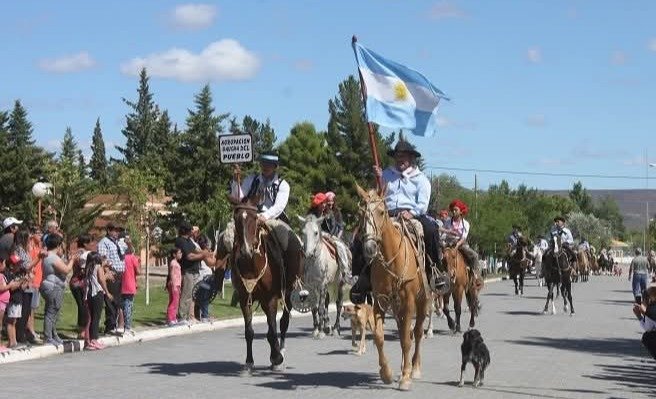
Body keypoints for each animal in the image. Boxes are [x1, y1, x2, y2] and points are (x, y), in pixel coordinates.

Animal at [231, 205, 302, 376]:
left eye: (254, 219)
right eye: (237, 220)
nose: (246, 251)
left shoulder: (271, 299)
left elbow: (272, 330)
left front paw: (276, 358)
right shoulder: (245, 299)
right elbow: (249, 332)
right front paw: (248, 363)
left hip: (288, 293)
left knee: (283, 323)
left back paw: (280, 352)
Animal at [356, 186, 428, 392]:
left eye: (381, 212)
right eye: (361, 214)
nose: (369, 248)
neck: (392, 258)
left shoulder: (409, 302)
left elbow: (406, 339)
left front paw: (405, 378)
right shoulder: (379, 301)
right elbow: (379, 337)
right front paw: (386, 373)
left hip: (422, 303)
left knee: (416, 333)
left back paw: (414, 368)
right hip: (397, 307)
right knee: (405, 330)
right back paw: (405, 366)